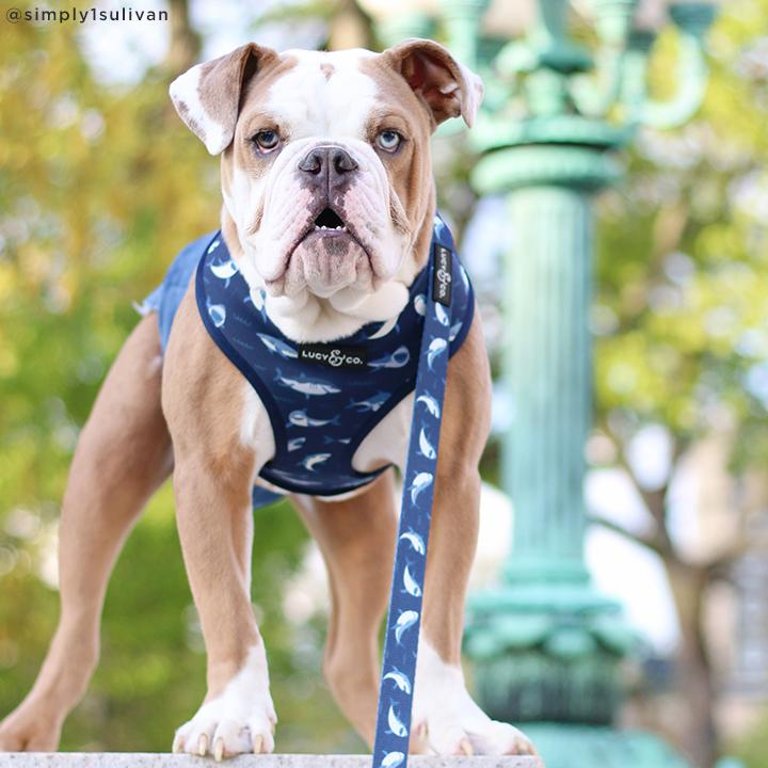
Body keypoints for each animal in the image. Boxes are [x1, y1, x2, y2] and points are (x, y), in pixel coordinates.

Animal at [0, 39, 536, 760]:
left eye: (389, 138)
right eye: (265, 139)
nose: (329, 159)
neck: (328, 329)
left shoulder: (447, 479)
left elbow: (438, 624)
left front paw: (460, 725)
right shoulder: (210, 474)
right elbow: (228, 608)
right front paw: (230, 716)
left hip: (364, 530)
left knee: (349, 657)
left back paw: (403, 736)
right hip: (101, 480)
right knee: (78, 633)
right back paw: (27, 734)